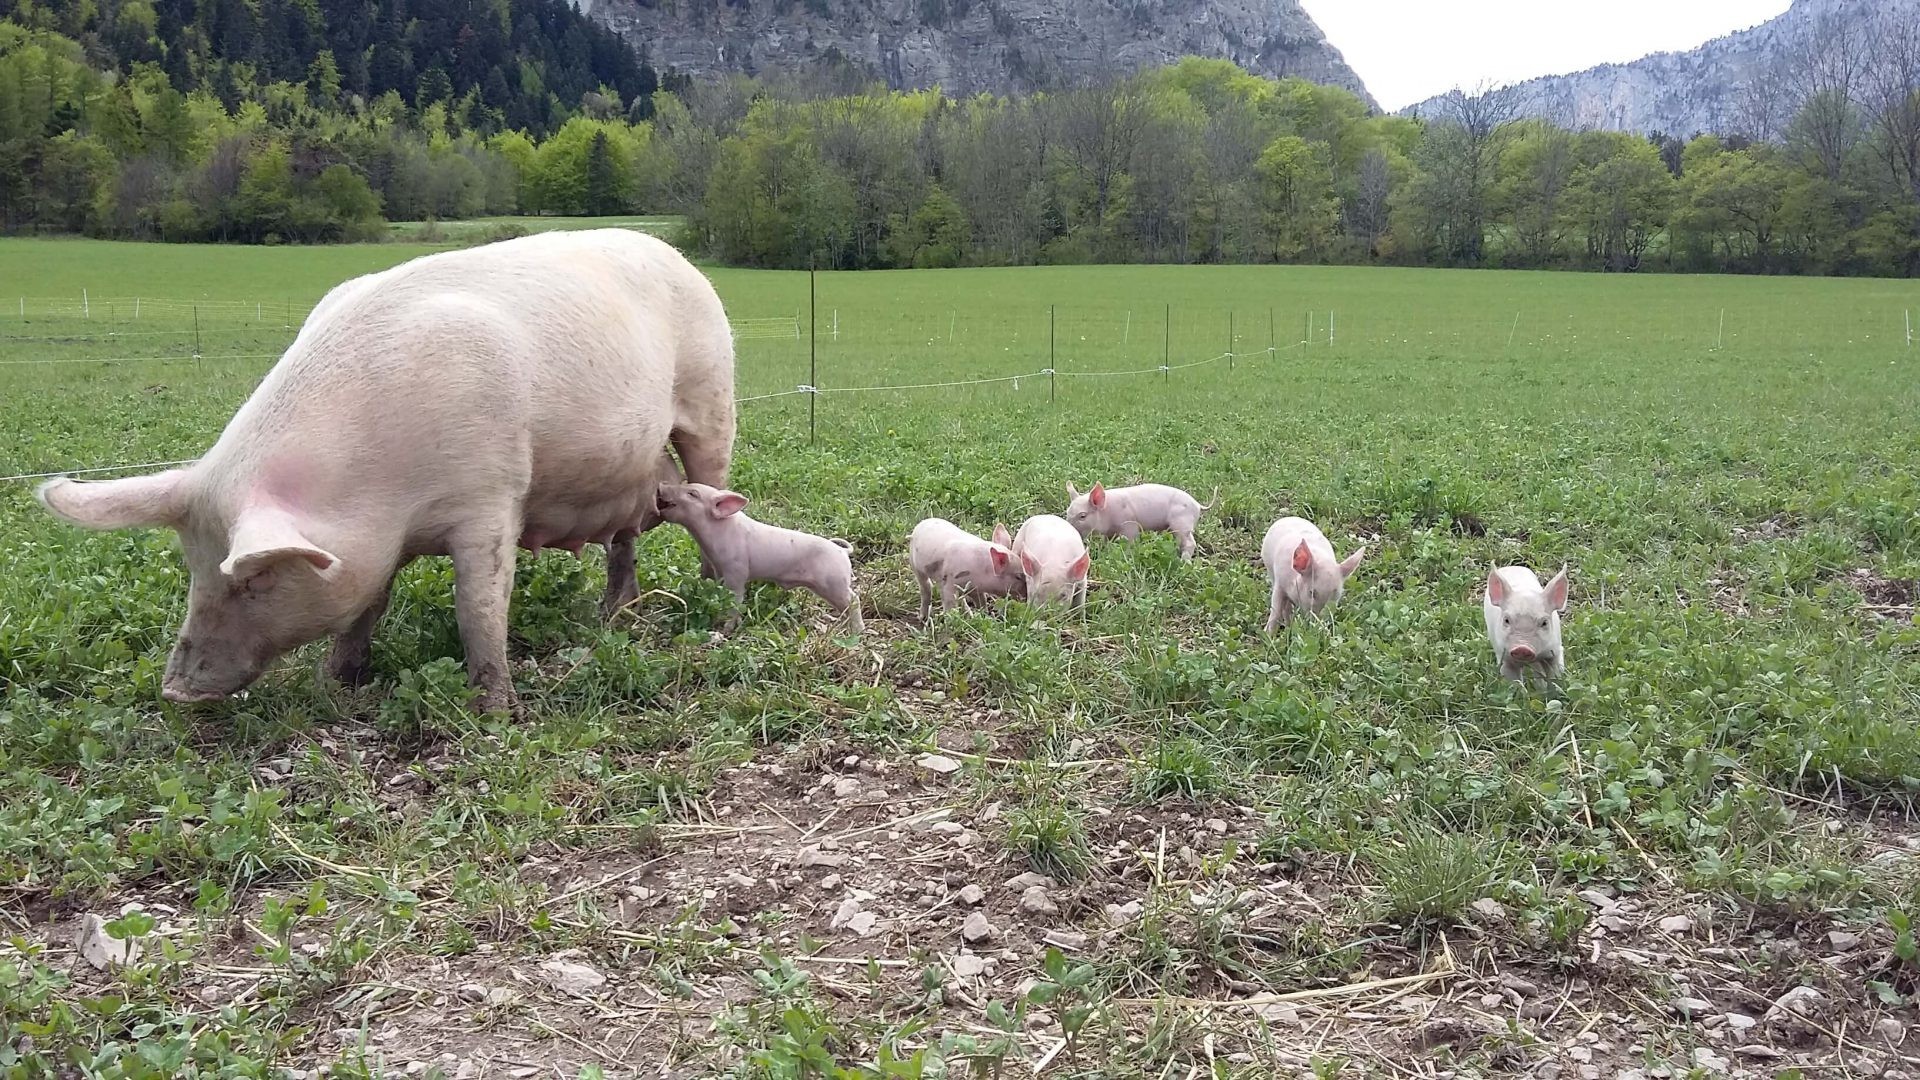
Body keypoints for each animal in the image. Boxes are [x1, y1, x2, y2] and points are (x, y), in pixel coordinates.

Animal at [39, 231, 741, 711]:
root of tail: (675, 254)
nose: (177, 690)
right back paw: (611, 615)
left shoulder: (491, 494)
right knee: (625, 538)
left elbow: (479, 605)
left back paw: (709, 599)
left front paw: (496, 710)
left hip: (712, 400)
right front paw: (336, 681)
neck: (389, 493)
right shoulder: (377, 540)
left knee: (715, 489)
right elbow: (367, 603)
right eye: (192, 566)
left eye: (256, 580)